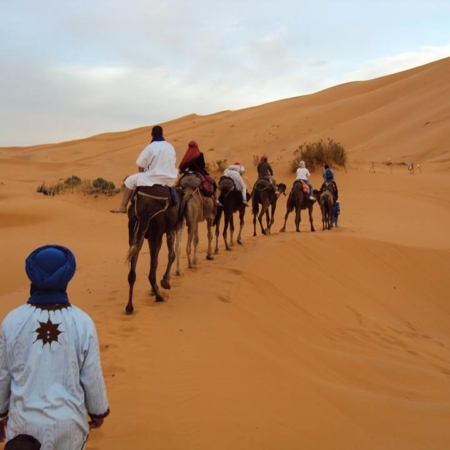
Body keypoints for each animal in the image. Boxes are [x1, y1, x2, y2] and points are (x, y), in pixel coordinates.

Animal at [125, 185, 179, 314]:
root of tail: (144, 212)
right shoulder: (170, 229)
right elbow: (171, 255)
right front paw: (165, 282)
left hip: (134, 232)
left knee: (132, 271)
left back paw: (129, 307)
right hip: (156, 231)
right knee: (151, 272)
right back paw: (160, 297)